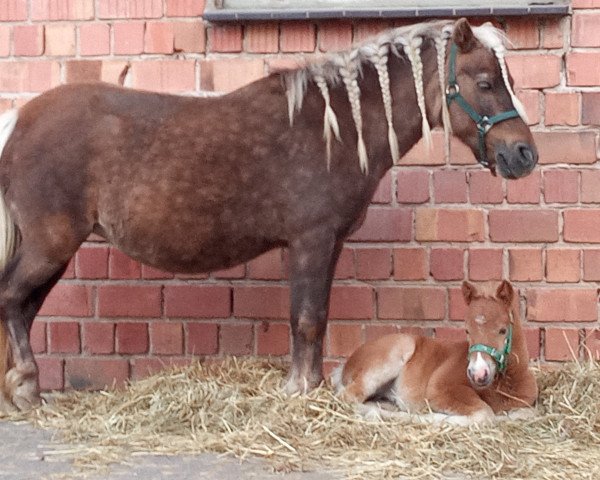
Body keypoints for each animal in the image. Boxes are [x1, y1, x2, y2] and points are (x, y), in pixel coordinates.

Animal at [0, 16, 536, 410]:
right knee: (12, 300)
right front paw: (301, 390)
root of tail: (20, 120)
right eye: (485, 82)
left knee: (23, 306)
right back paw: (25, 389)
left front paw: (307, 385)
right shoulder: (310, 240)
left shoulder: (325, 243)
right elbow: (307, 319)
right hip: (51, 244)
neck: (334, 129)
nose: (524, 154)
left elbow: (314, 316)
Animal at [332, 280, 540, 426]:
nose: (478, 373)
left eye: (503, 330)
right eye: (467, 330)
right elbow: (484, 415)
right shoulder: (441, 389)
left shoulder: (527, 405)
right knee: (348, 397)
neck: (504, 385)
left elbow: (527, 413)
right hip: (395, 353)